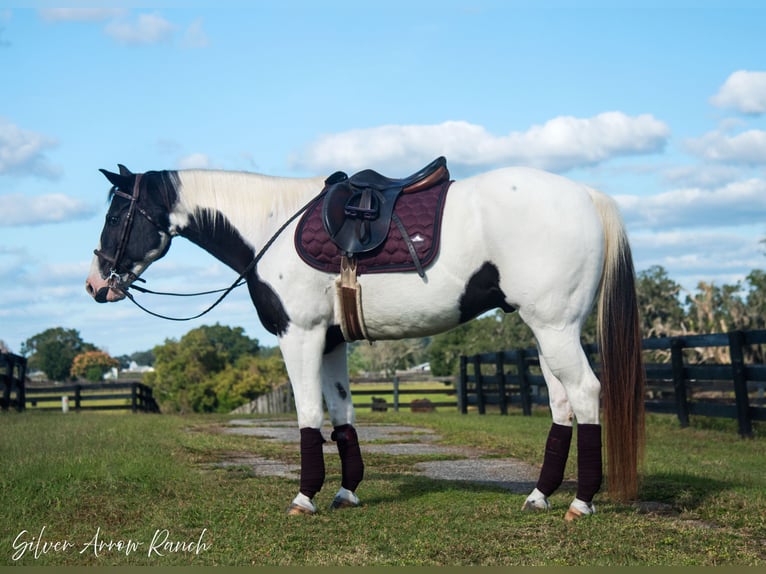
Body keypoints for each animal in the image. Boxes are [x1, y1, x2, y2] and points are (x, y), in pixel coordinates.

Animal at [85, 159, 648, 520]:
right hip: (549, 330)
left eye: (115, 215)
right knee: (562, 404)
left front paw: (305, 498)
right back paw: (539, 496)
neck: (270, 224)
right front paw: (347, 492)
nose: (95, 285)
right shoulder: (333, 341)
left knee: (586, 395)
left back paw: (580, 502)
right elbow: (341, 415)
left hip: (554, 329)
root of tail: (586, 196)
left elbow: (308, 415)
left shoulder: (300, 336)